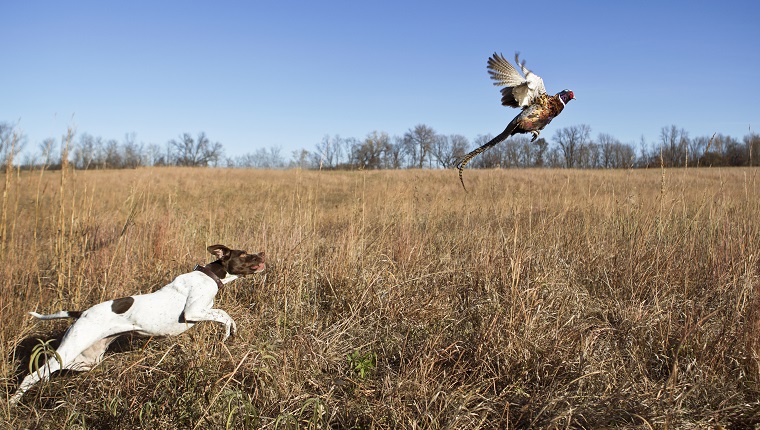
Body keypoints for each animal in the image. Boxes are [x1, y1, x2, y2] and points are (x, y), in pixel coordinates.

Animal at [7, 244, 264, 404]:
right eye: (244, 254)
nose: (262, 253)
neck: (210, 275)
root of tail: (82, 313)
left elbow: (223, 314)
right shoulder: (192, 312)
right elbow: (223, 314)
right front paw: (229, 331)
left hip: (86, 360)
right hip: (70, 349)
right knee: (32, 375)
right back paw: (12, 402)